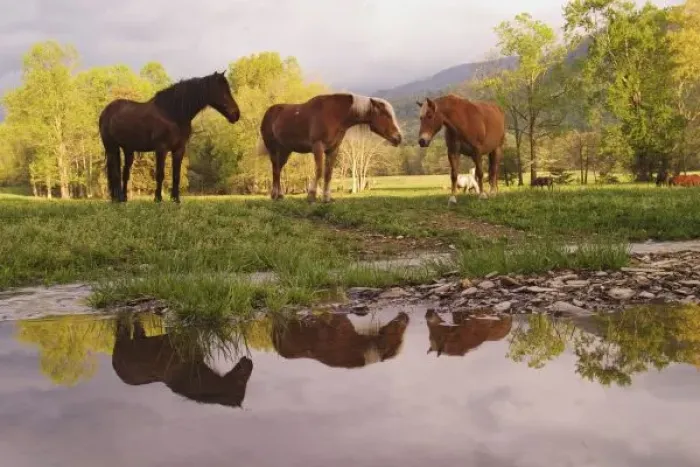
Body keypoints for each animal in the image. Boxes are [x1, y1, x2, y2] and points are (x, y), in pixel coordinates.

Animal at [99, 71, 240, 203]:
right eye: (223, 92)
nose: (236, 114)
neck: (172, 113)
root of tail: (106, 111)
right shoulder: (161, 149)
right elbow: (160, 174)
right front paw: (158, 198)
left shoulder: (179, 149)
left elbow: (176, 175)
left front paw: (176, 199)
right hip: (111, 148)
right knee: (115, 173)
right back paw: (117, 199)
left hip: (128, 149)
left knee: (125, 173)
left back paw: (123, 198)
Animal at [258, 93, 403, 202]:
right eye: (386, 115)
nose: (398, 138)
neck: (334, 113)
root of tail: (269, 112)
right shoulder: (318, 146)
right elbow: (319, 170)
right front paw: (312, 195)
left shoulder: (333, 149)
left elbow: (328, 173)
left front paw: (326, 198)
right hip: (272, 148)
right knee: (275, 170)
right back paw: (274, 195)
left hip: (285, 150)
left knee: (278, 169)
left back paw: (280, 195)